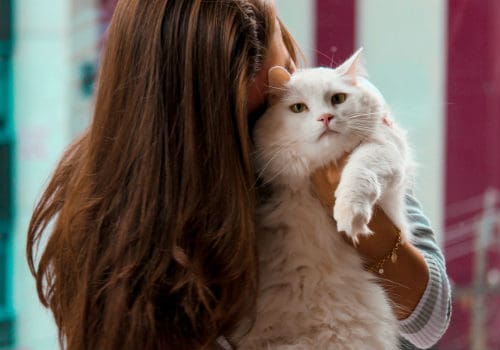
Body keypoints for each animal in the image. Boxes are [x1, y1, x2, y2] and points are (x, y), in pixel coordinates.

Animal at [238, 50, 414, 350]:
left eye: (338, 99)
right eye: (299, 108)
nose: (325, 118)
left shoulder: (384, 148)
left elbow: (359, 171)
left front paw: (349, 214)